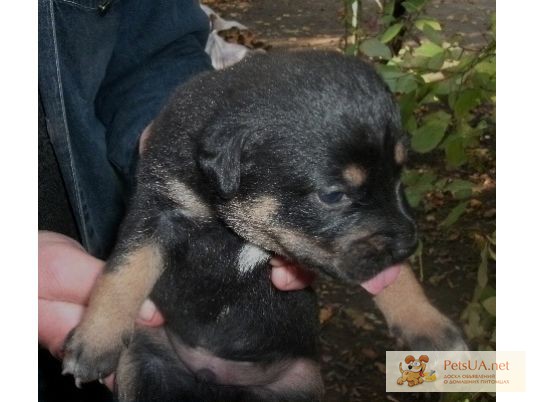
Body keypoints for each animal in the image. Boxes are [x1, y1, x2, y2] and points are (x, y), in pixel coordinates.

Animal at [61, 51, 464, 400]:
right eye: (333, 195)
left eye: (399, 174)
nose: (409, 245)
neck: (231, 222)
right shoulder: (157, 208)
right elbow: (124, 271)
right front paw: (93, 341)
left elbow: (395, 277)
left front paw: (430, 326)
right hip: (143, 359)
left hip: (301, 381)